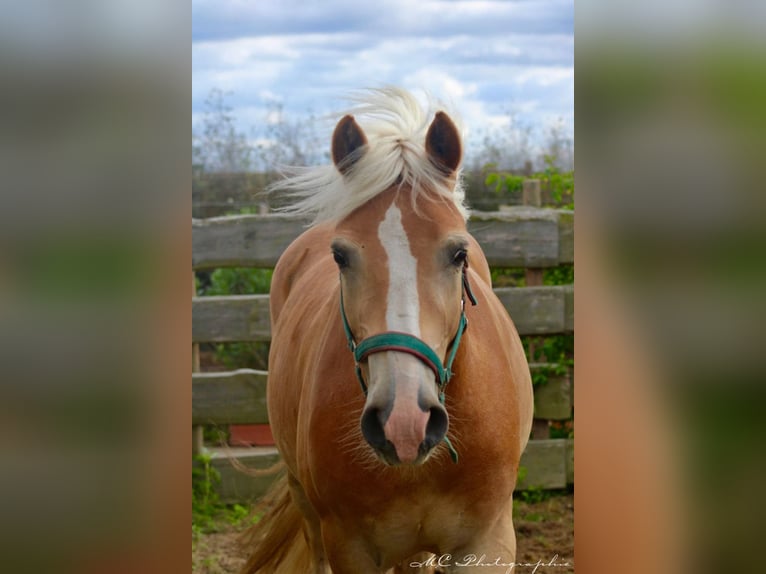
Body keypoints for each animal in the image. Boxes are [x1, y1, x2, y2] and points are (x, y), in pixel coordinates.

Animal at [243, 88, 536, 572]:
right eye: (341, 256)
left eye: (459, 253)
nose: (404, 422)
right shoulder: (350, 547)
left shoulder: (488, 544)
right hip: (305, 502)